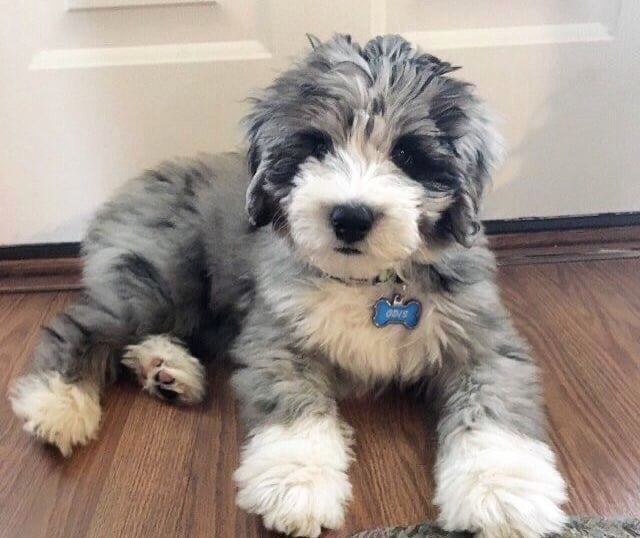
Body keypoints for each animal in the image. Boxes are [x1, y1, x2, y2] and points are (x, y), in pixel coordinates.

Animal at [9, 34, 567, 538]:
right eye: (317, 145)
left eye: (408, 155)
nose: (350, 217)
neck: (372, 284)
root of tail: (128, 191)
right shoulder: (276, 337)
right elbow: (296, 411)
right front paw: (298, 485)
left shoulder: (484, 342)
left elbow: (494, 411)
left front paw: (502, 494)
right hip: (164, 274)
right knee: (84, 322)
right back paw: (58, 402)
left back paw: (166, 371)